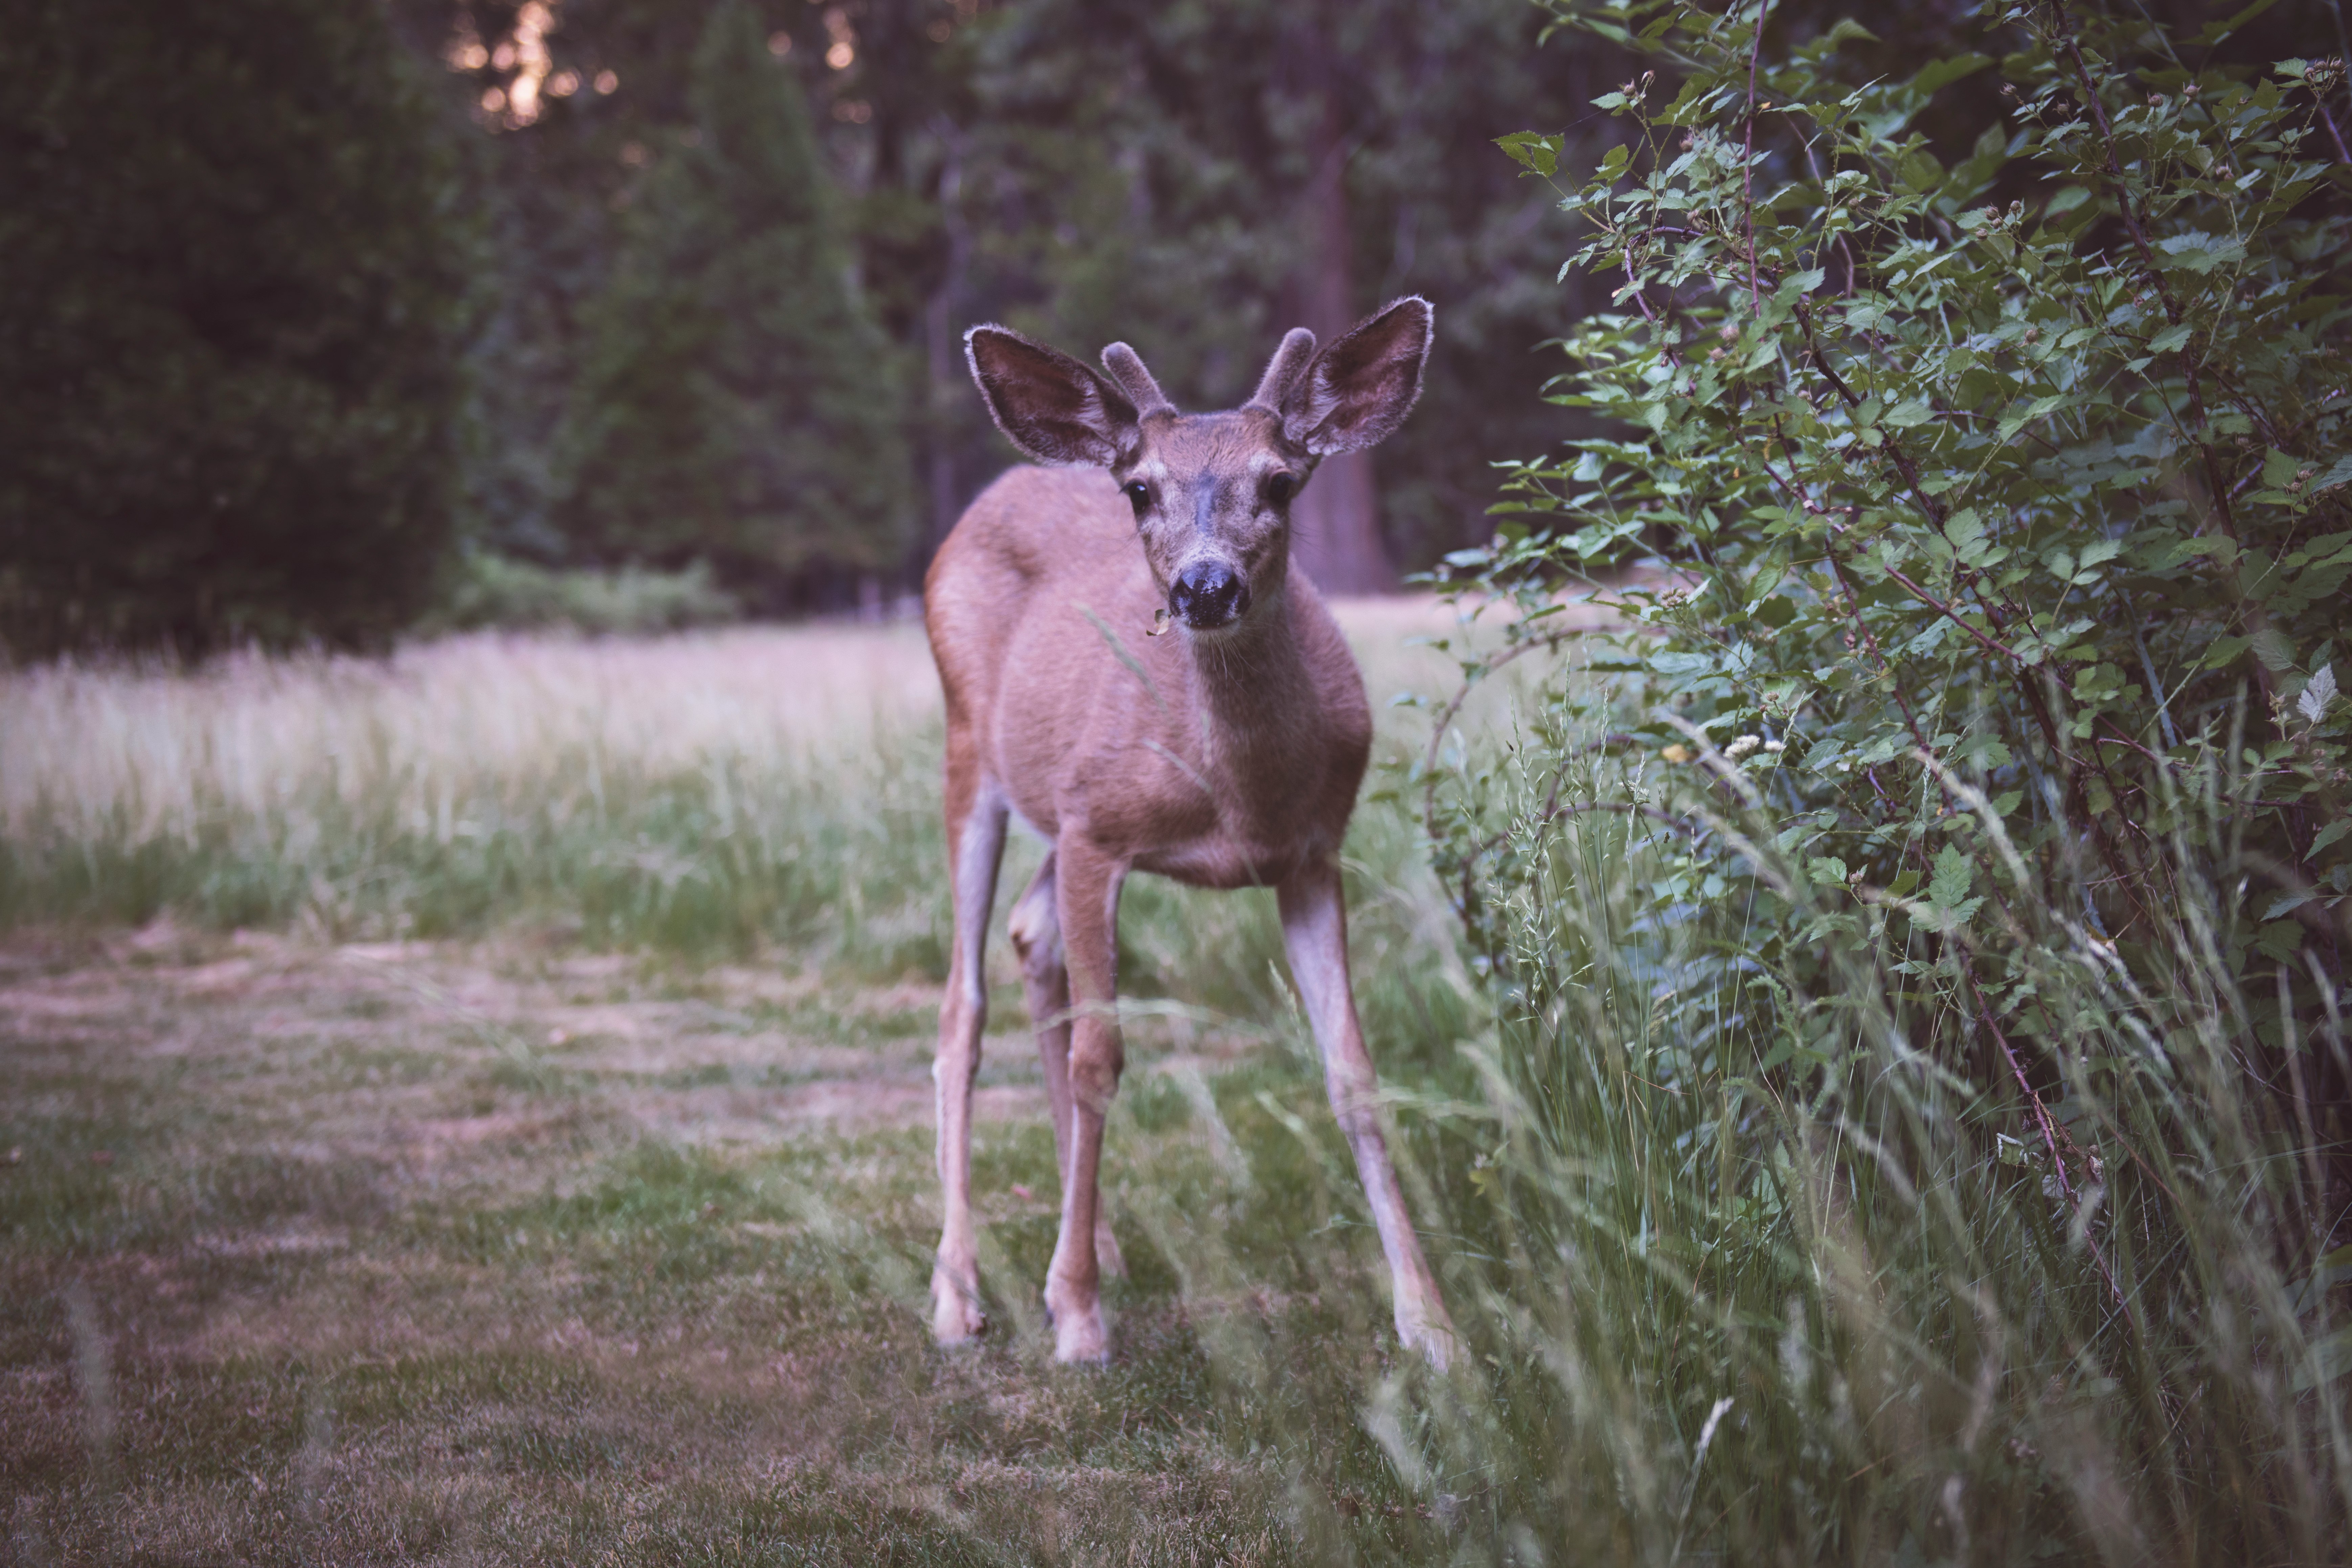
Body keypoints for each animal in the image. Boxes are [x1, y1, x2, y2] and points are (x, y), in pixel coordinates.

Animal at [927, 301, 1458, 1363]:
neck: (1234, 797)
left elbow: (1354, 1072)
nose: (1204, 588)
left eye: (1282, 480)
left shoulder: (1313, 853)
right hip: (971, 753)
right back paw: (960, 1291)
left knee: (1029, 935)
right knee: (961, 1005)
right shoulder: (1098, 830)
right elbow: (1099, 1058)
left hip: (1047, 805)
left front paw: (1432, 1323)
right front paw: (1079, 1318)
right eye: (1140, 489)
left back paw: (1094, 1240)